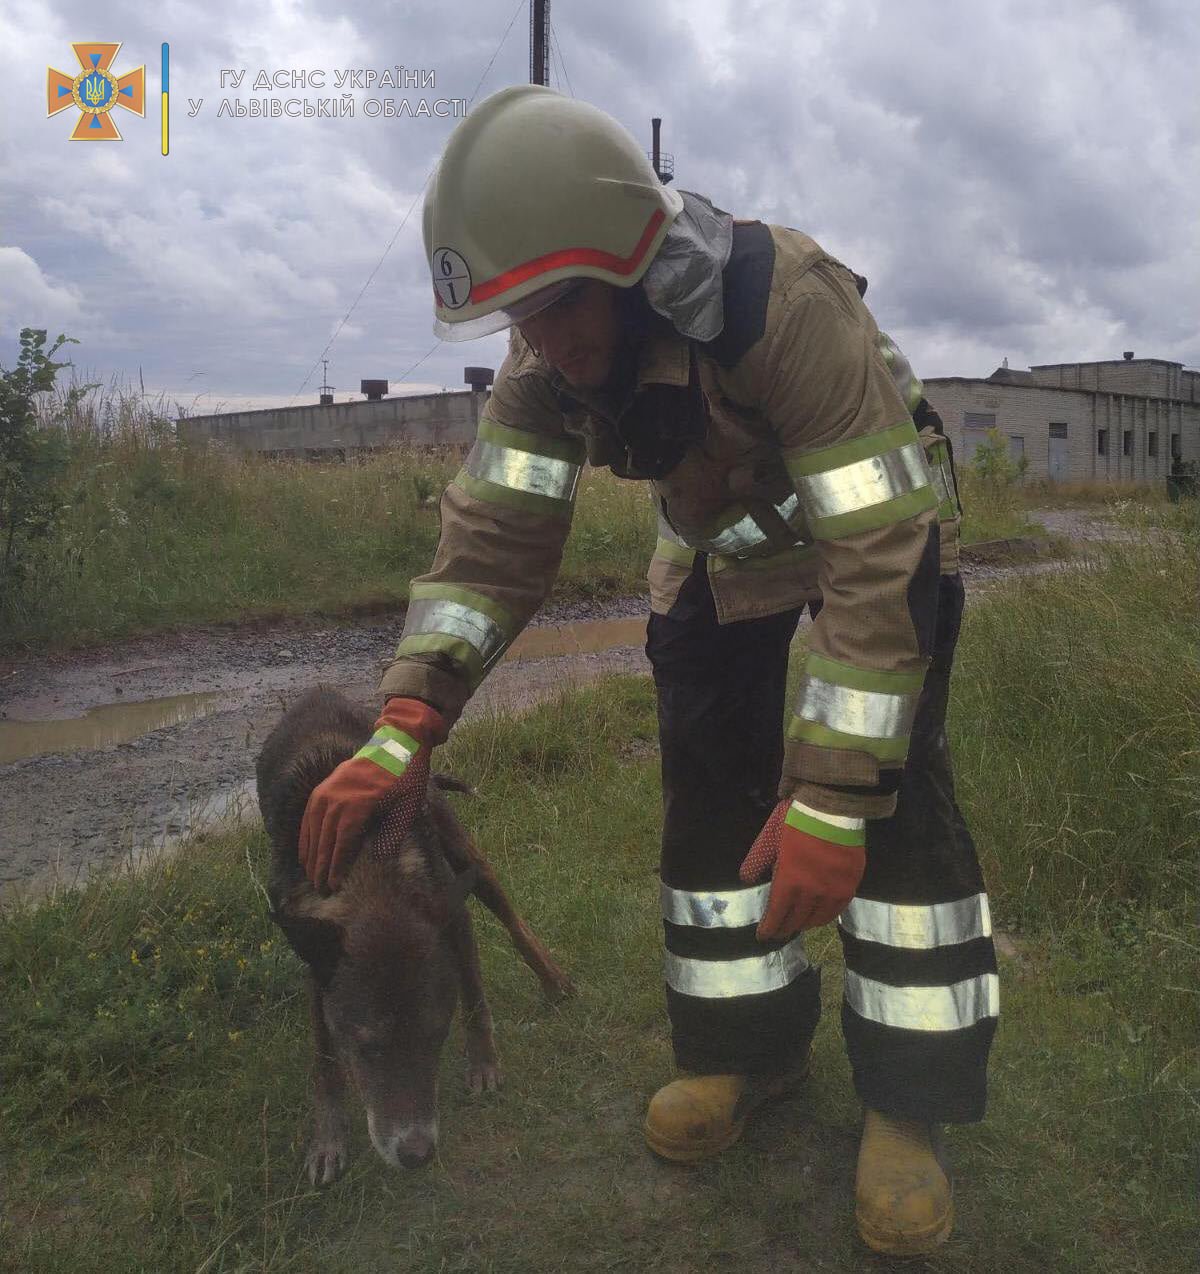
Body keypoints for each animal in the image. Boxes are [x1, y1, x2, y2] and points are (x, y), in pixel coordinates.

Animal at [256, 687, 575, 1182]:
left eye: (436, 1036)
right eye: (366, 1048)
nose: (417, 1154)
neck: (368, 869)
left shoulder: (450, 912)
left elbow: (474, 997)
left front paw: (483, 1063)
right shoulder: (315, 955)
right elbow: (324, 1058)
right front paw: (328, 1138)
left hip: (464, 853)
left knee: (509, 915)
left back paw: (552, 977)